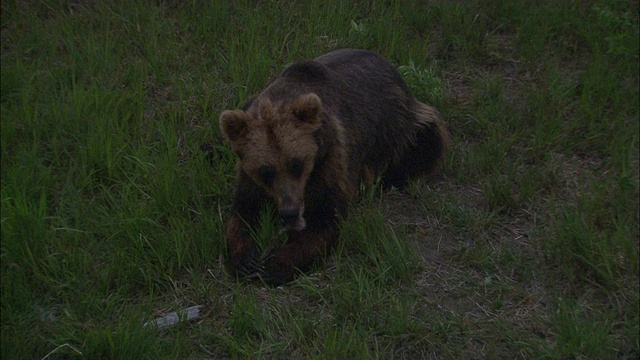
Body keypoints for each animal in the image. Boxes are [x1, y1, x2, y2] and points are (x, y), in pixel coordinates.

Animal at [218, 49, 448, 286]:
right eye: (266, 171)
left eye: (297, 164)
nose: (290, 212)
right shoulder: (248, 174)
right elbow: (243, 210)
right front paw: (245, 259)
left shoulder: (330, 161)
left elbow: (325, 219)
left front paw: (273, 266)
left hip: (403, 129)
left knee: (425, 144)